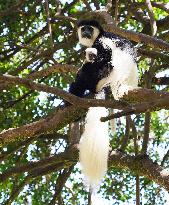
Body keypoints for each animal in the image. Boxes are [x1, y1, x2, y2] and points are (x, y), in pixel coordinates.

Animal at [68, 20, 139, 188]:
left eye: (89, 28)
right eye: (83, 28)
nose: (86, 32)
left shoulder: (102, 41)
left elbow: (104, 54)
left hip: (101, 74)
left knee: (90, 70)